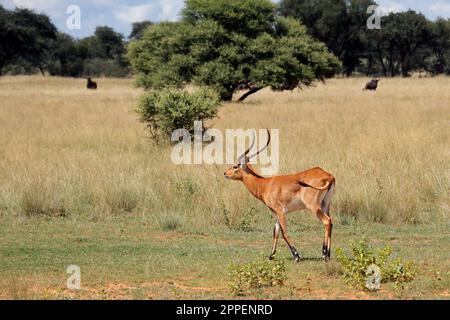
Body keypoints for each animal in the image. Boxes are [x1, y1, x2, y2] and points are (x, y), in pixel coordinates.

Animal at [223, 131, 336, 262]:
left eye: (236, 166)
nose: (225, 173)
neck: (265, 184)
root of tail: (328, 176)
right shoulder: (276, 212)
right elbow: (275, 232)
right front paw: (271, 255)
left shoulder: (280, 211)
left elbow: (284, 232)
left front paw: (296, 256)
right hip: (325, 204)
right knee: (330, 222)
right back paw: (327, 254)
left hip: (313, 206)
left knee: (327, 221)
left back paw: (325, 255)